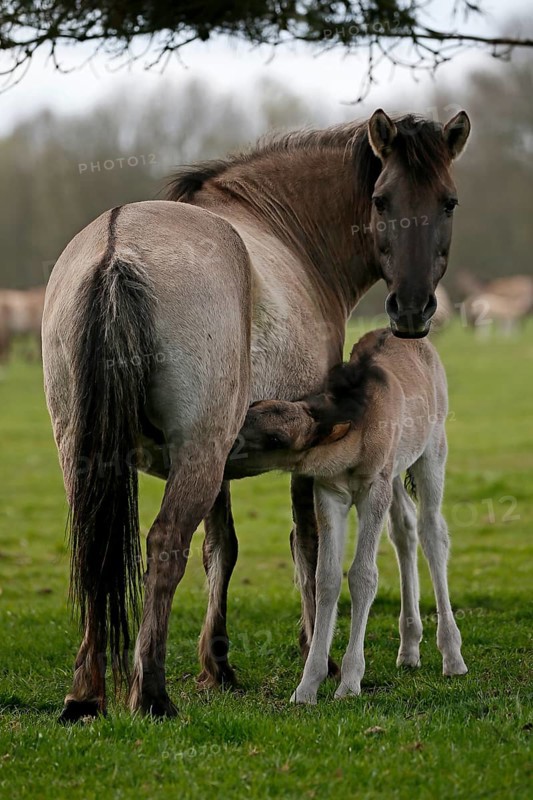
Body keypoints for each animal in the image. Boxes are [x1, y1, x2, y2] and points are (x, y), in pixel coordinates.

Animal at [237, 329, 468, 704]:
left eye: (275, 438)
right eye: (251, 409)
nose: (227, 442)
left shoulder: (374, 487)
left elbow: (362, 575)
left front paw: (349, 682)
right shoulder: (329, 491)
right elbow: (326, 576)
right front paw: (307, 686)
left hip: (432, 450)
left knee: (432, 531)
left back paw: (452, 656)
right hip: (395, 471)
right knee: (404, 528)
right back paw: (409, 648)